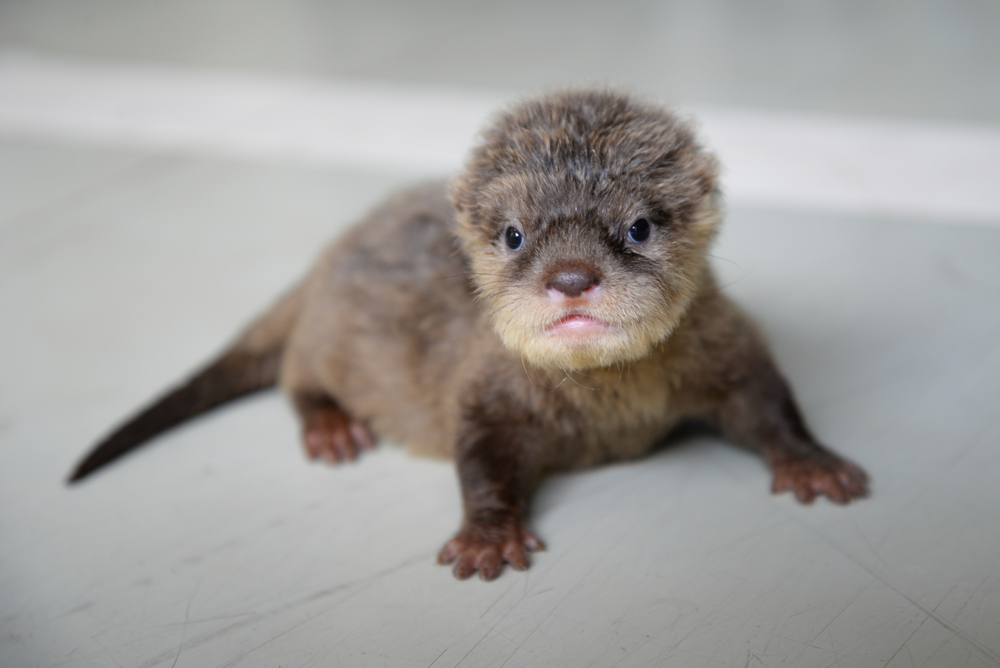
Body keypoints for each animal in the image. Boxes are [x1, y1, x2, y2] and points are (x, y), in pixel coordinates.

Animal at [68, 89, 868, 581]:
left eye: (638, 226)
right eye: (514, 235)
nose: (571, 277)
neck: (610, 405)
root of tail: (326, 259)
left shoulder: (728, 343)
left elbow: (767, 400)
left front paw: (812, 463)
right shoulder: (485, 384)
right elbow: (479, 453)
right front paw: (488, 537)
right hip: (325, 339)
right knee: (295, 377)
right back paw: (330, 426)